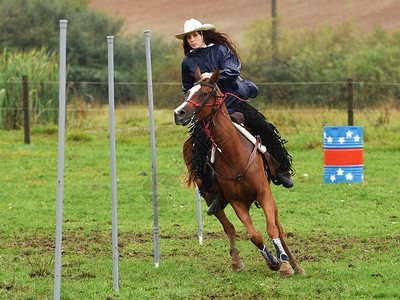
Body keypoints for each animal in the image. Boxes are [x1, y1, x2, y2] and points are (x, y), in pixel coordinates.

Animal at [173, 67, 306, 276]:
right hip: (213, 201)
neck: (234, 155)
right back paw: (237, 261)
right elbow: (254, 236)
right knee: (229, 228)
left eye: (203, 93)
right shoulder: (238, 204)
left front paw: (284, 263)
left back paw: (294, 264)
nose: (179, 113)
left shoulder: (264, 194)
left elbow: (272, 229)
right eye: (188, 92)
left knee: (278, 226)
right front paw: (272, 261)